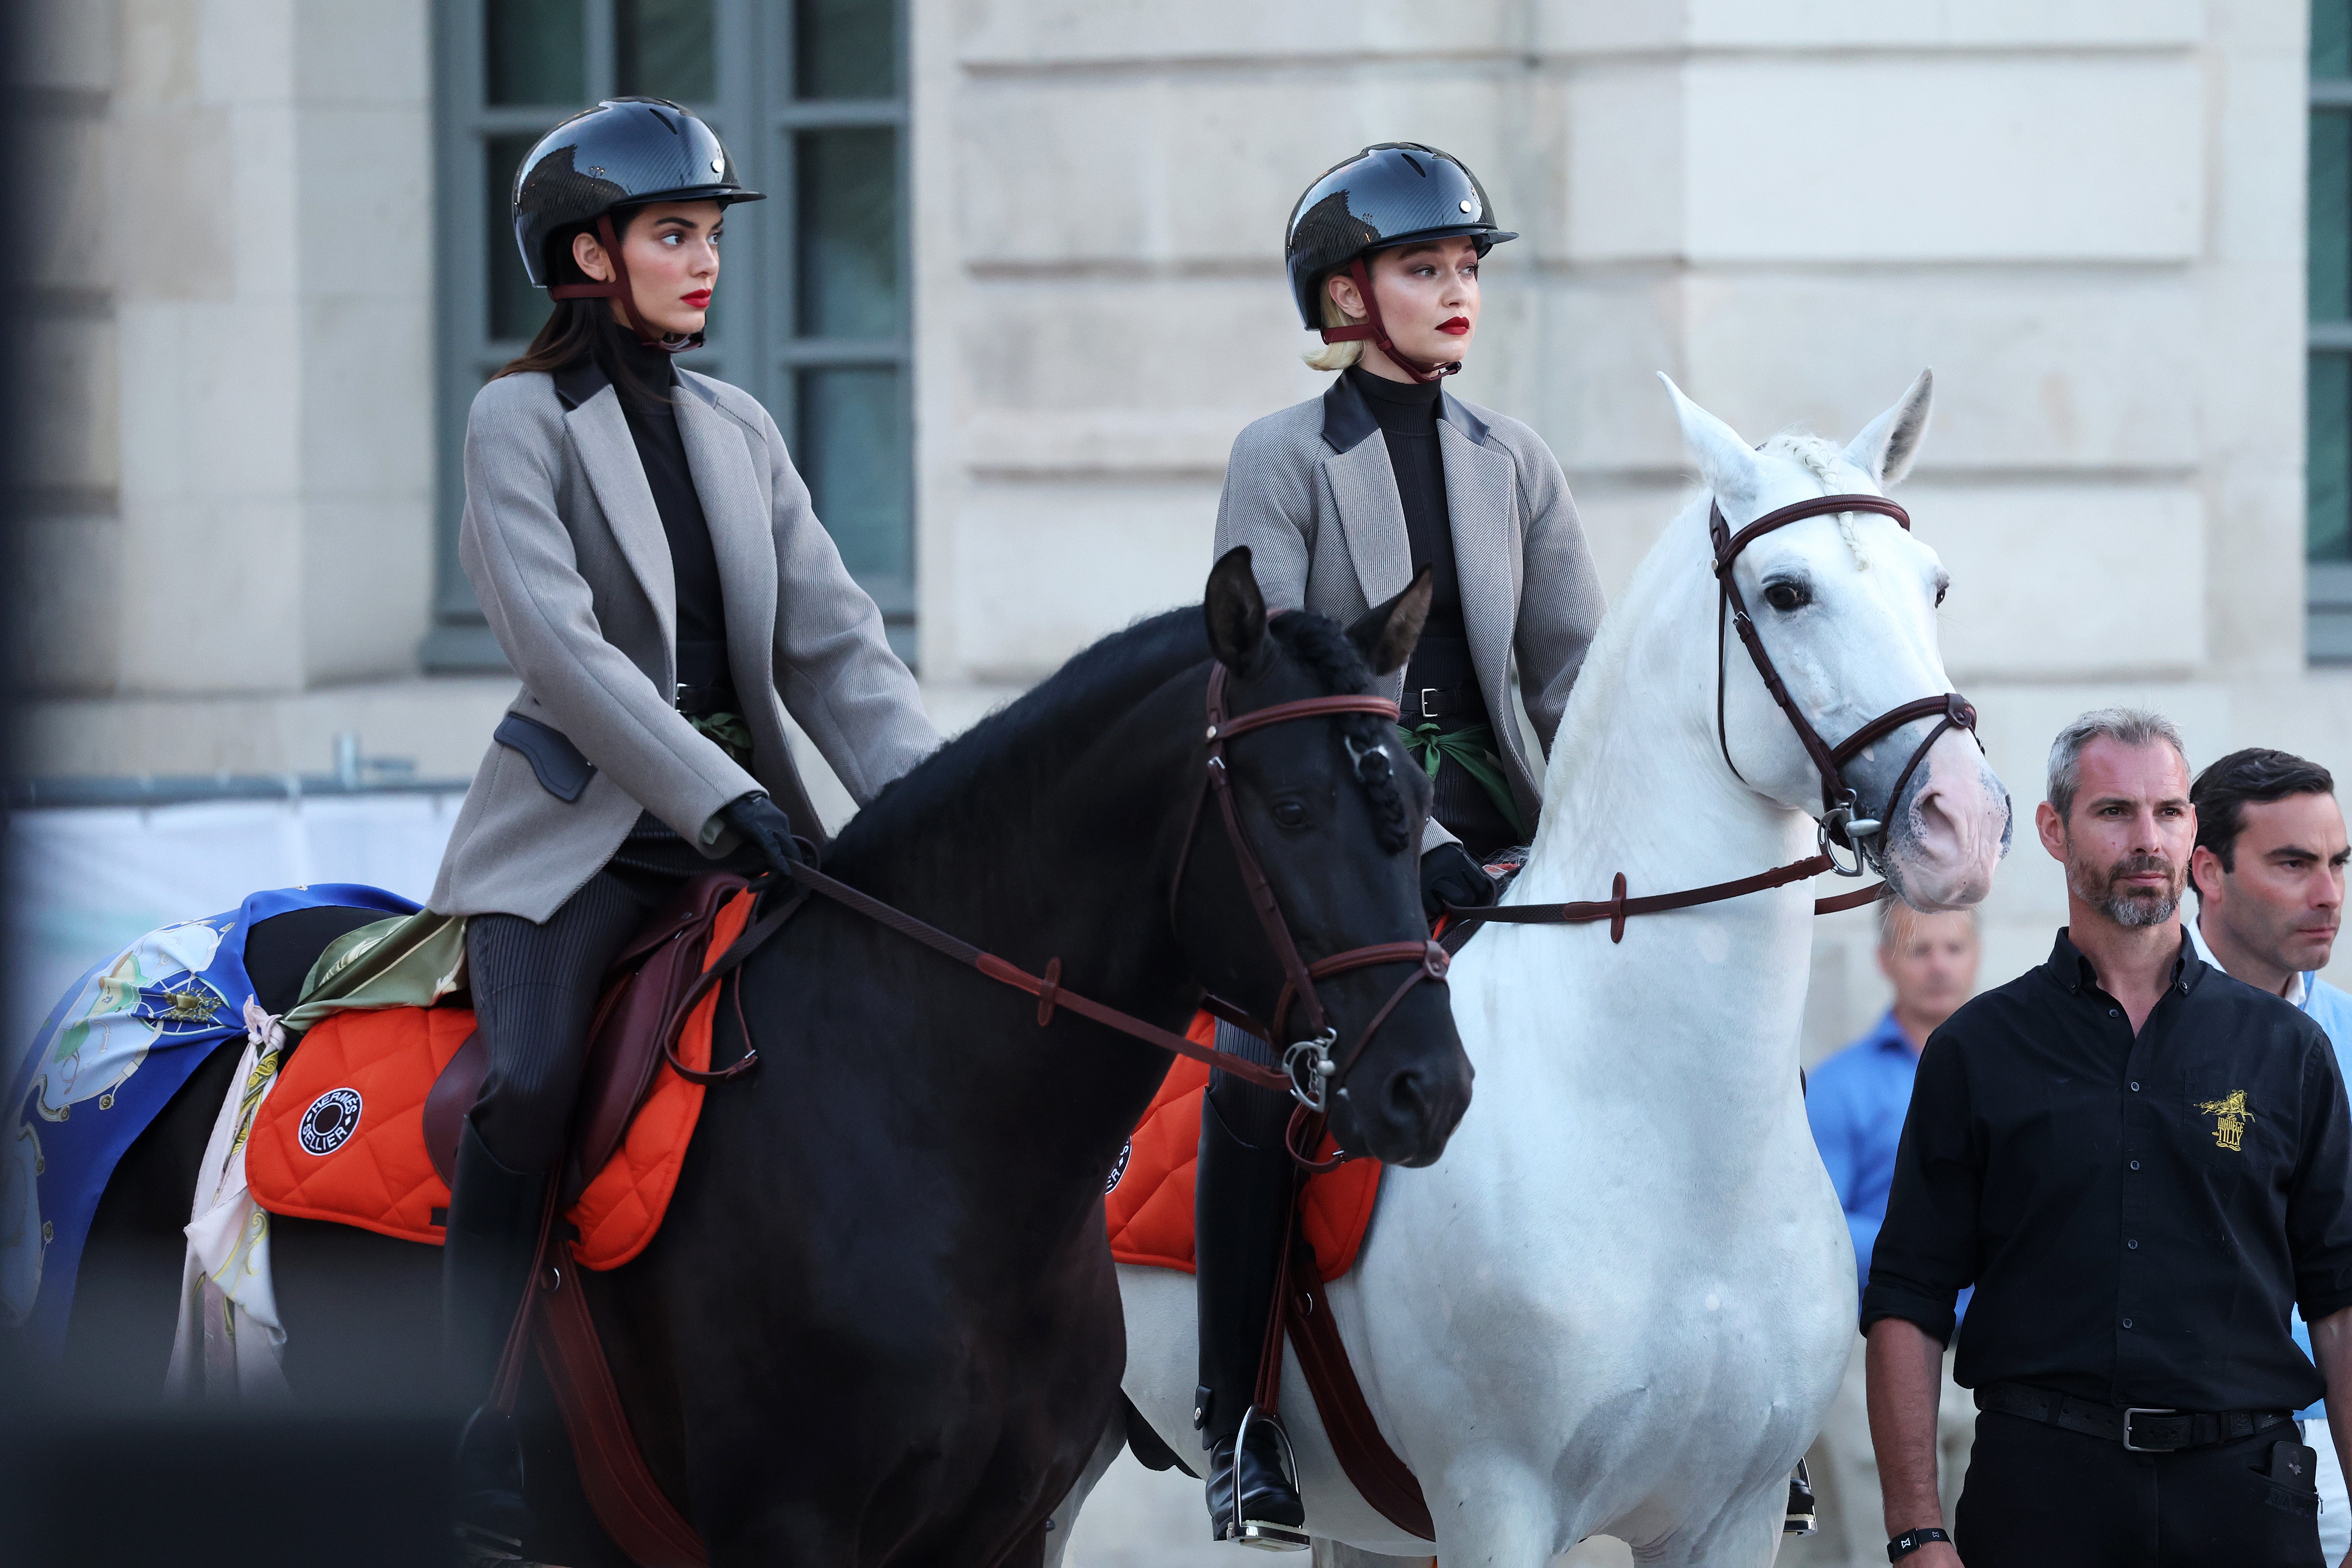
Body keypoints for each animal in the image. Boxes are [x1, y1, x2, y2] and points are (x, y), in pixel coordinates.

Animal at [60, 555, 1468, 1568]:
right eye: (1294, 810)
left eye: (1412, 801)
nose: (1431, 1086)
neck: (938, 1138)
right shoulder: (791, 1532)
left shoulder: (1002, 1537)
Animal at [1058, 374, 2013, 1561]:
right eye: (1787, 592)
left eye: (1935, 585)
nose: (1962, 821)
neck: (1663, 1131)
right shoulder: (1497, 1503)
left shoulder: (1732, 1517)